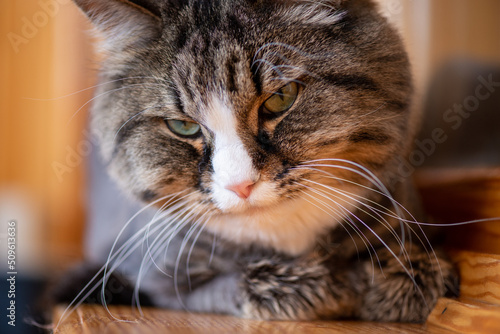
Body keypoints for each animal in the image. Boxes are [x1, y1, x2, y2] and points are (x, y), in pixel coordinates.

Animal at [52, 0, 458, 324]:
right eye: (182, 126)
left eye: (281, 97)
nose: (240, 184)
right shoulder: (159, 280)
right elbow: (230, 286)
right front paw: (320, 287)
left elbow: (412, 257)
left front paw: (404, 278)